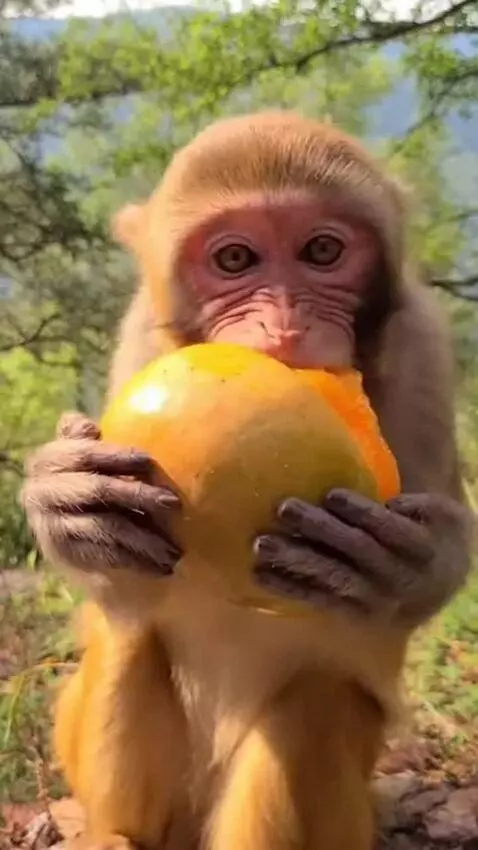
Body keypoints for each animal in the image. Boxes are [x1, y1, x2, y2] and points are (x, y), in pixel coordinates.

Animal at [21, 112, 473, 850]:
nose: (286, 327)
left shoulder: (423, 341)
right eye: (234, 260)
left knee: (316, 697)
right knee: (133, 625)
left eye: (322, 250)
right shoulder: (140, 330)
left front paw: (395, 564)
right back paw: (118, 832)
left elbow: (444, 544)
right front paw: (66, 500)